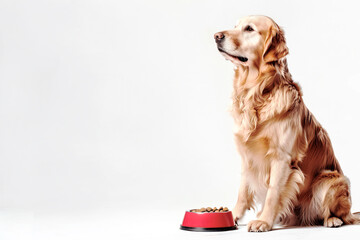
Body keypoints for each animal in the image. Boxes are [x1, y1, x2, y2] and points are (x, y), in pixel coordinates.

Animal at [215, 15, 358, 232]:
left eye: (249, 29)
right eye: (235, 26)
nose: (216, 36)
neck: (257, 92)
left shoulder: (282, 158)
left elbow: (273, 192)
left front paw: (264, 222)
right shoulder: (247, 157)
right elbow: (242, 191)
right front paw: (233, 217)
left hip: (330, 179)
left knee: (340, 215)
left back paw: (333, 220)